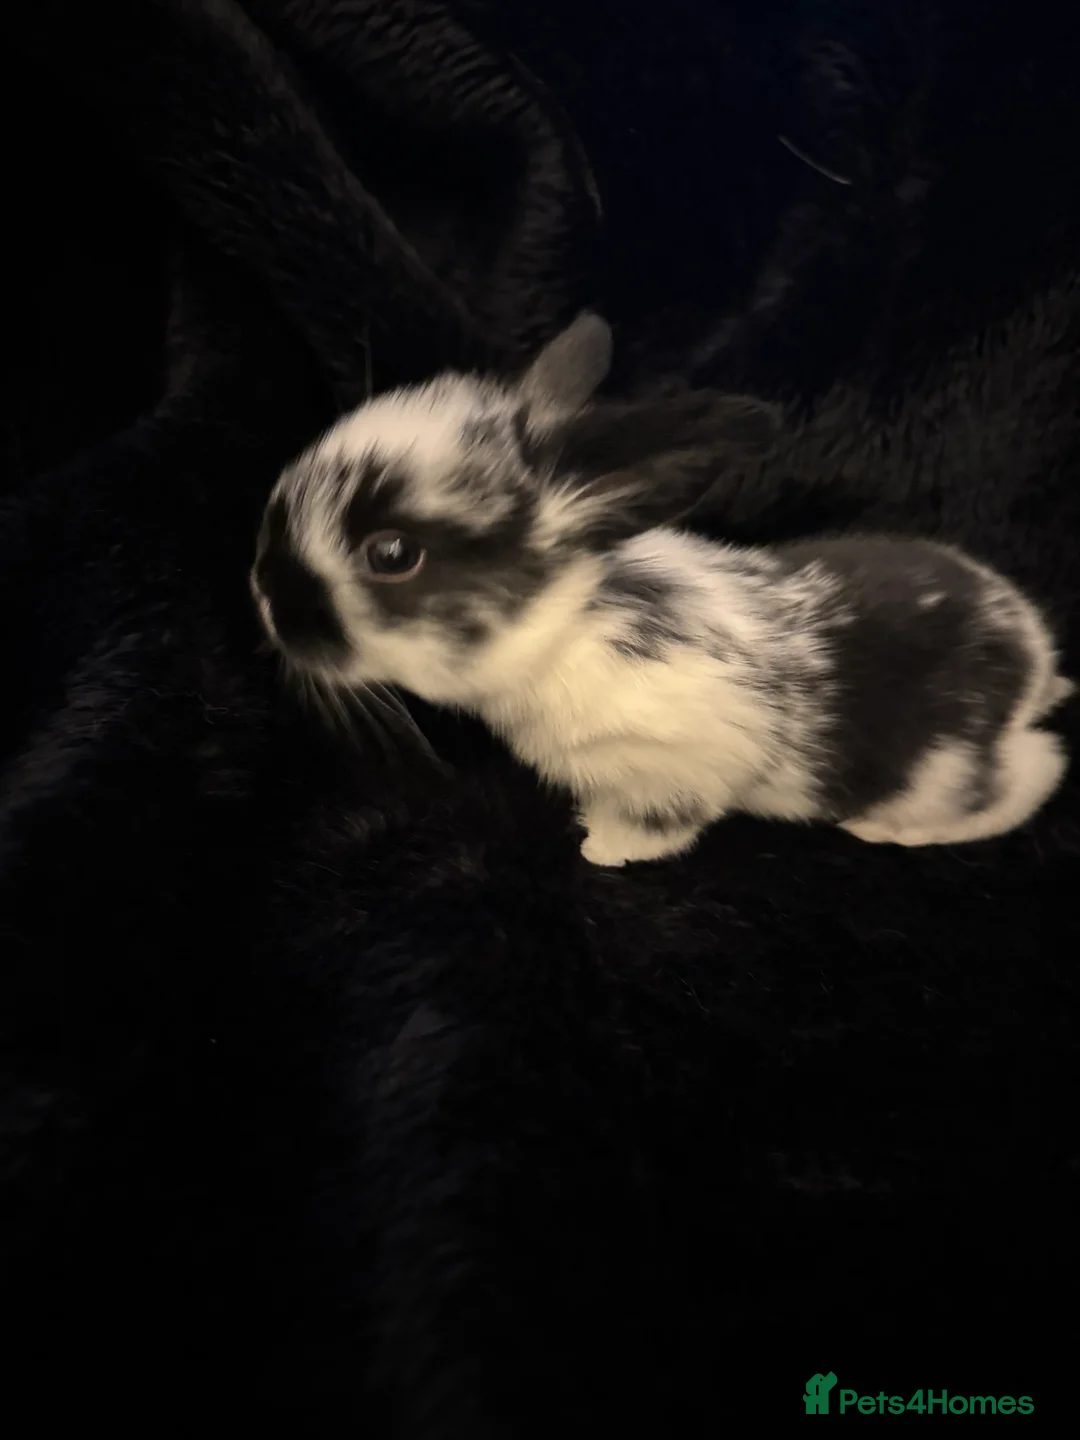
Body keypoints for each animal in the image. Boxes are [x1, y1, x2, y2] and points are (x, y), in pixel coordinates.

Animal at [251, 313, 1072, 866]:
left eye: (392, 553)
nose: (261, 594)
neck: (564, 632)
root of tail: (1034, 655)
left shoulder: (676, 769)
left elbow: (659, 825)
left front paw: (600, 846)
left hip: (945, 769)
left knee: (1033, 775)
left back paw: (885, 828)